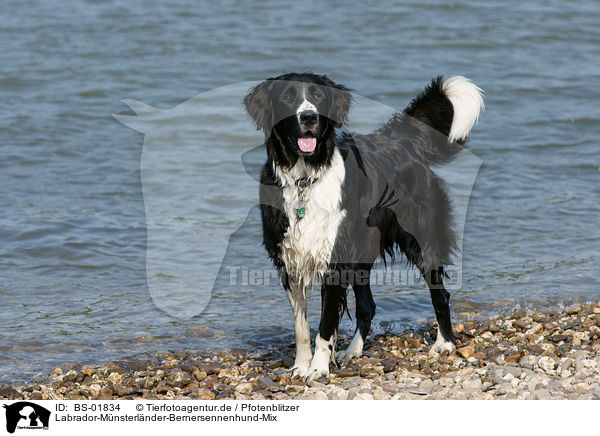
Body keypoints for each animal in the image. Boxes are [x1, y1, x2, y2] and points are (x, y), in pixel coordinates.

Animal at [244, 71, 482, 378]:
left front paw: (318, 370)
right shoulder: (289, 261)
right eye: (286, 97)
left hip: (420, 239)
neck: (305, 178)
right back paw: (352, 351)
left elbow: (324, 326)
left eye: (318, 96)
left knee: (440, 294)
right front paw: (301, 365)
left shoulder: (333, 259)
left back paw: (445, 344)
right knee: (368, 305)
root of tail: (400, 142)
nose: (309, 117)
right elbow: (301, 327)